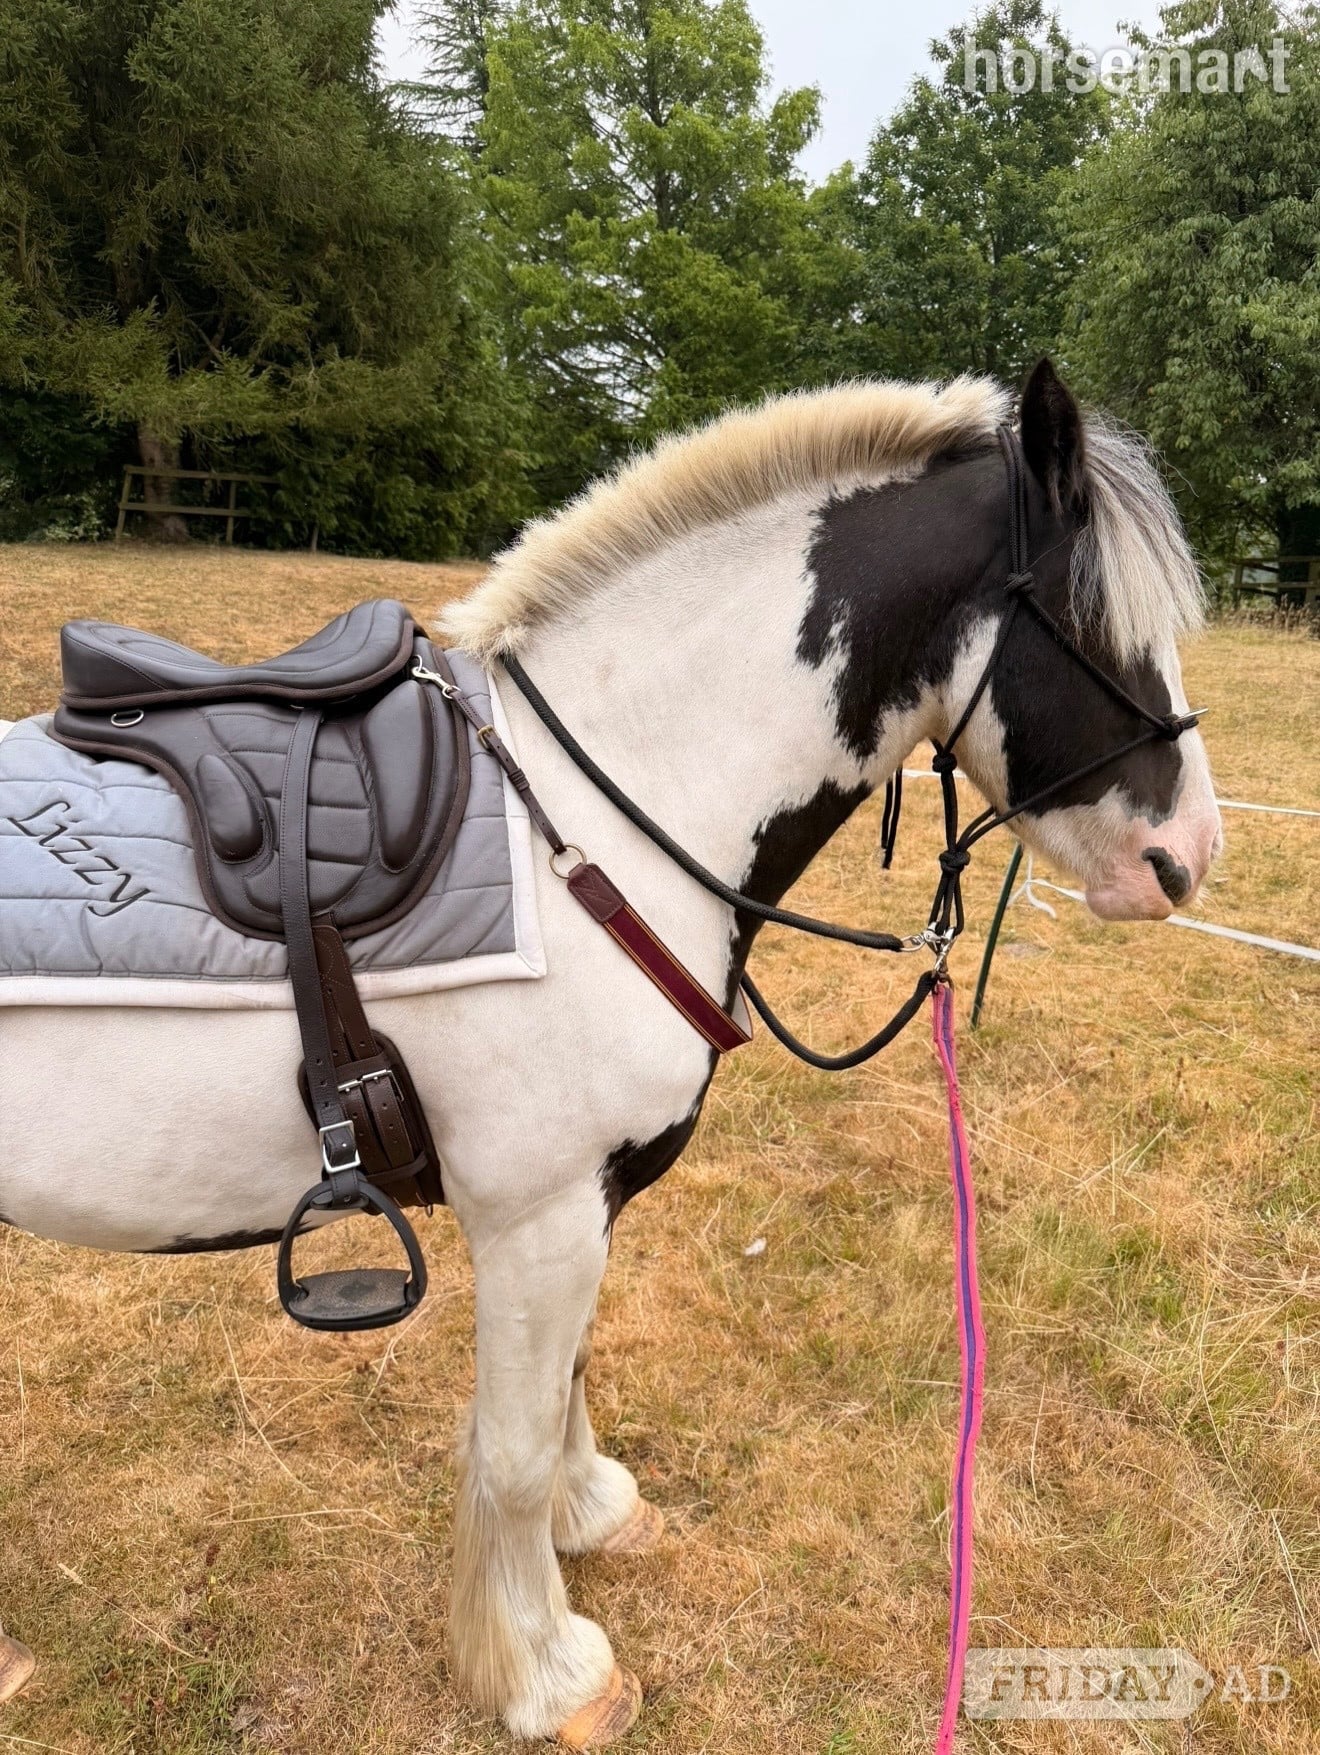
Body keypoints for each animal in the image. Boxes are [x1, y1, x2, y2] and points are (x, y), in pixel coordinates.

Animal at [0, 360, 1221, 1744]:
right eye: (1094, 621)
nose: (1188, 857)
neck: (599, 814)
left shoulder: (587, 1208)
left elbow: (568, 1387)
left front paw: (591, 1520)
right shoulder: (538, 1218)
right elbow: (513, 1448)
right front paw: (545, 1670)